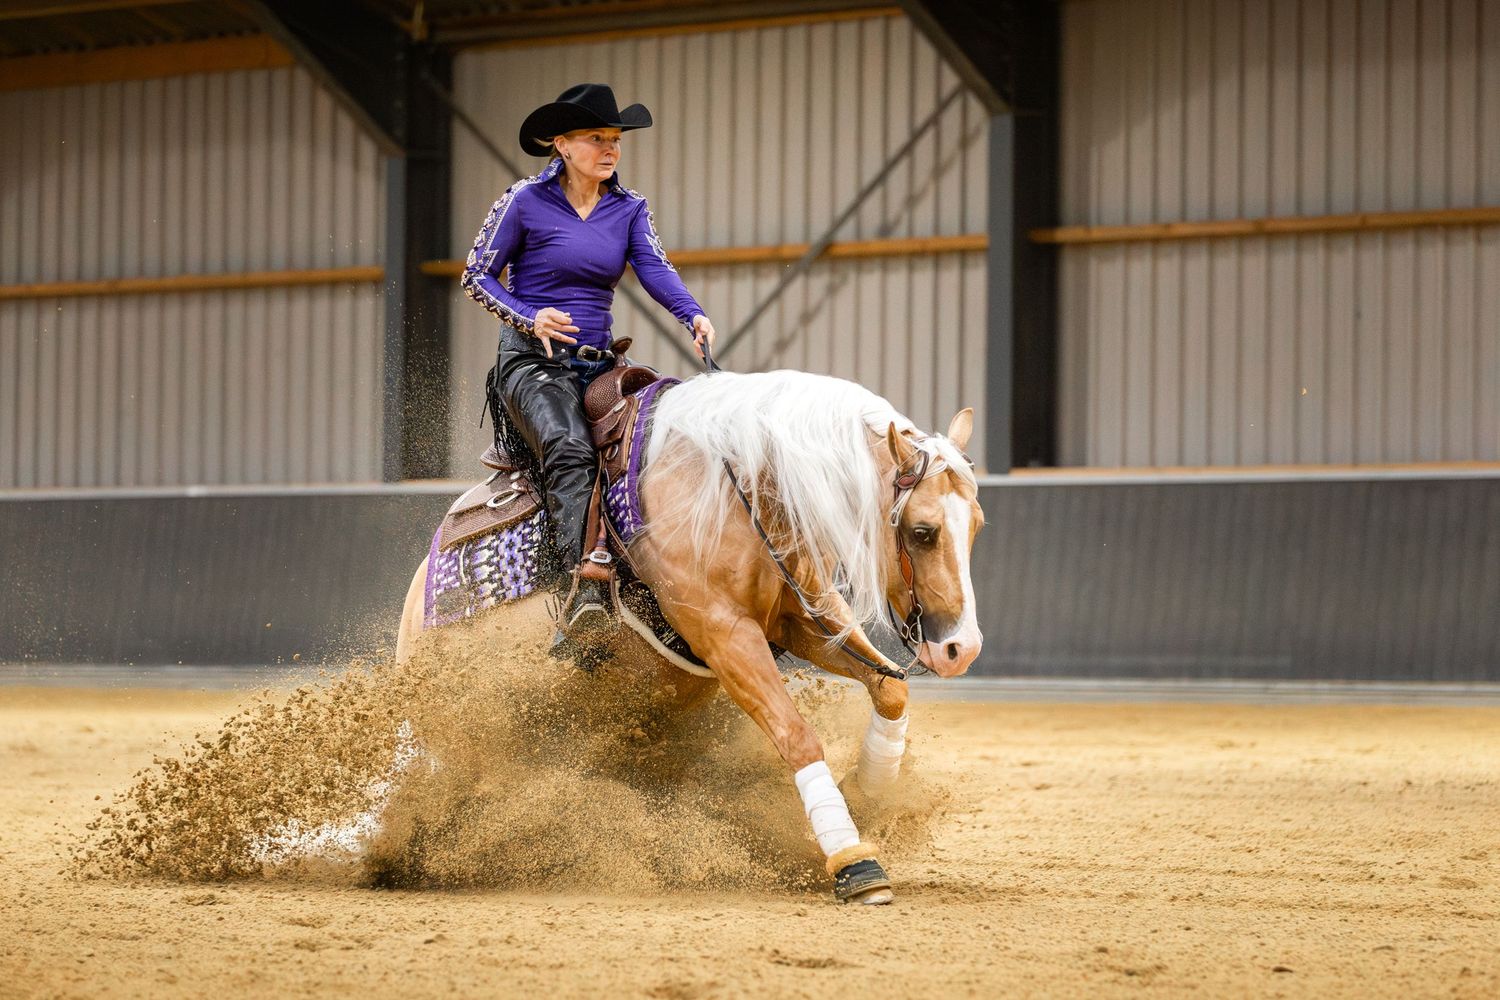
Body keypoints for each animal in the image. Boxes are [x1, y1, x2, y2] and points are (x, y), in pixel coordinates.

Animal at [395, 369, 984, 904]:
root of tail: (418, 597)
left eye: (976, 523)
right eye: (923, 531)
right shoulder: (725, 636)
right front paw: (853, 862)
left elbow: (891, 688)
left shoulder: (800, 619)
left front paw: (864, 793)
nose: (962, 649)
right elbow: (796, 734)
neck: (742, 487)